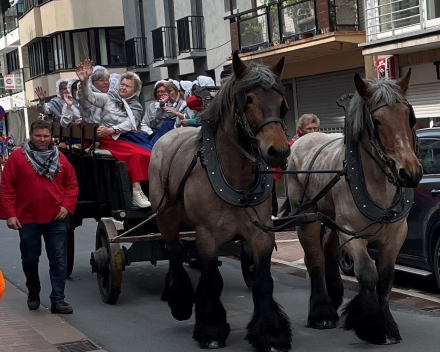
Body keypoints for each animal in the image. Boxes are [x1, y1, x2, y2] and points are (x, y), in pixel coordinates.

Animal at [150, 53, 294, 352]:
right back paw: (181, 302)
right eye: (248, 99)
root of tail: (166, 137)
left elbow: (263, 282)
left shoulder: (261, 234)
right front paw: (211, 330)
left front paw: (270, 334)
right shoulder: (207, 235)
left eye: (281, 101)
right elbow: (213, 281)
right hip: (166, 219)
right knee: (175, 253)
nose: (278, 151)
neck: (235, 176)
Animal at [286, 71, 422, 344]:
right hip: (306, 216)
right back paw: (322, 312)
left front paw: (387, 325)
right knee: (314, 258)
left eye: (408, 117)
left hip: (330, 218)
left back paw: (335, 293)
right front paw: (370, 325)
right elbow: (368, 273)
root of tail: (302, 139)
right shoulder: (352, 234)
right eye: (376, 121)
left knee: (328, 248)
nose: (410, 173)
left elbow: (385, 279)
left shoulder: (396, 235)